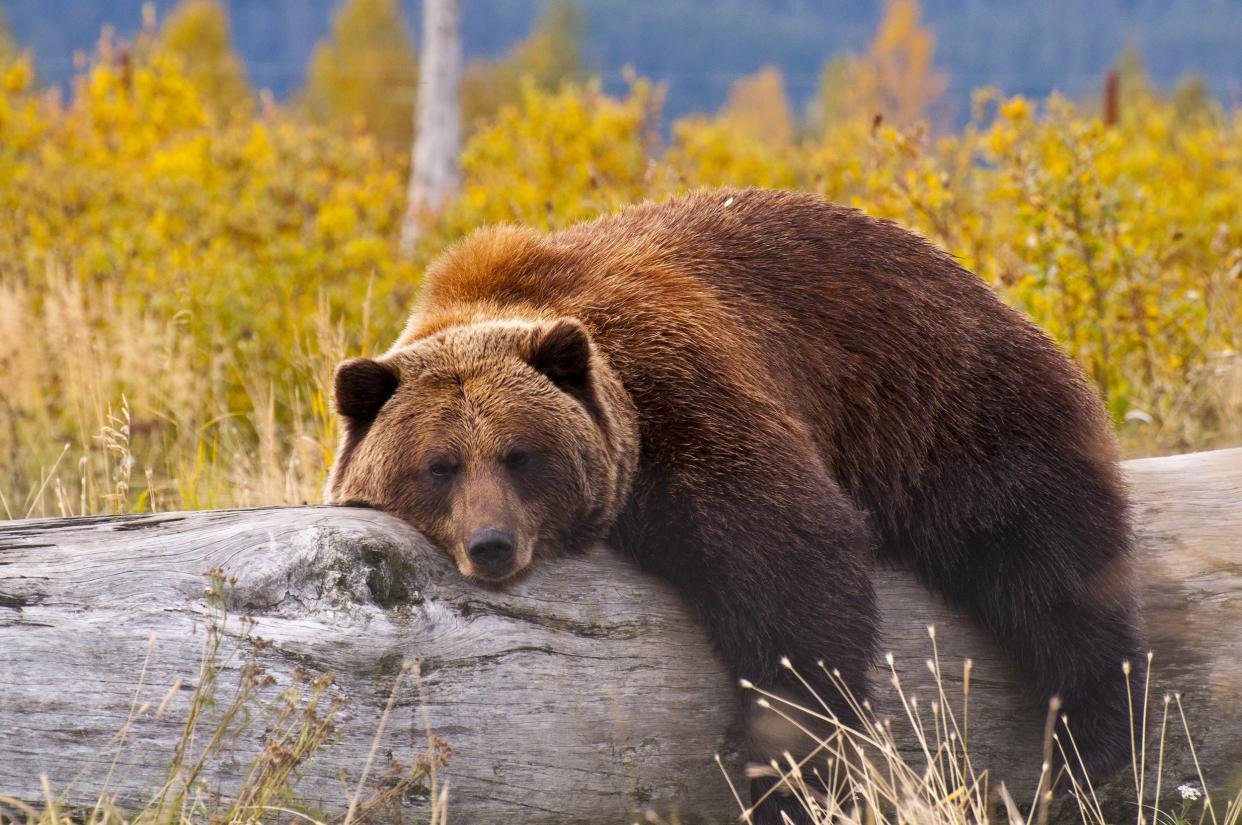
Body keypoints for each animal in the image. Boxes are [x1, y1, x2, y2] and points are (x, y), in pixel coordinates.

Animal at [327, 190, 1142, 820]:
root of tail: (972, 279)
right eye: (439, 465)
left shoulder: (684, 396)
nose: (491, 543)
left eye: (520, 454)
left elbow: (793, 570)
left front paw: (790, 773)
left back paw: (1091, 744)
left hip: (948, 407)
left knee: (1049, 567)